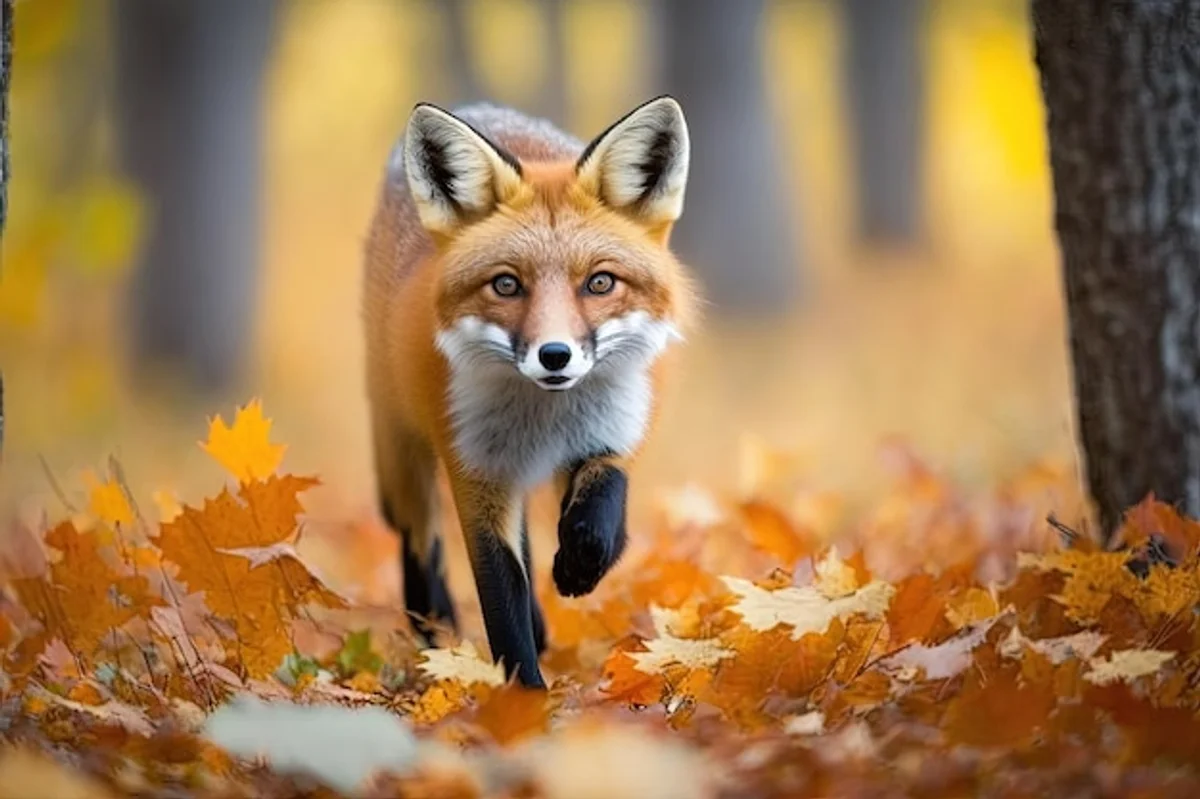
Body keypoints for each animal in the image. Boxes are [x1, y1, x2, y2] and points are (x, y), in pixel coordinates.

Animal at [362, 96, 697, 688]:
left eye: (600, 283)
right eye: (506, 285)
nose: (555, 355)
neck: (547, 418)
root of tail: (484, 108)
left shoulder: (612, 434)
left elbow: (603, 508)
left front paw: (581, 563)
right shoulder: (475, 471)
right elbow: (503, 599)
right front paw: (526, 699)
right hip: (402, 446)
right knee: (419, 536)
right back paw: (434, 625)